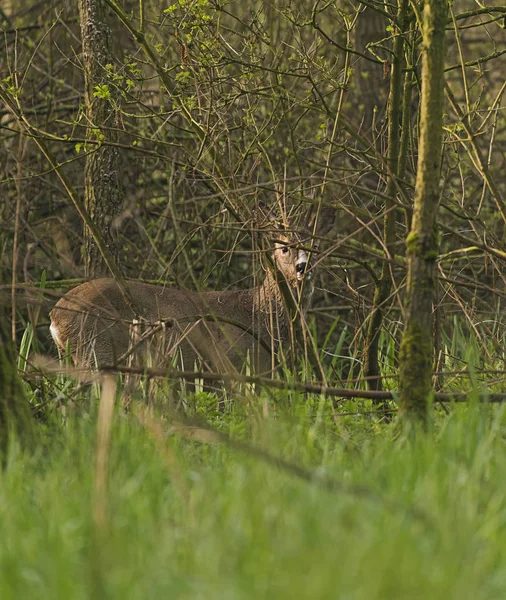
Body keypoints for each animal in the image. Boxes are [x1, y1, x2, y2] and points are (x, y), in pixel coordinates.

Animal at [48, 204, 332, 378]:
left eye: (316, 247)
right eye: (284, 247)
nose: (303, 266)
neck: (260, 314)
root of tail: (55, 315)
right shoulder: (233, 362)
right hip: (96, 349)